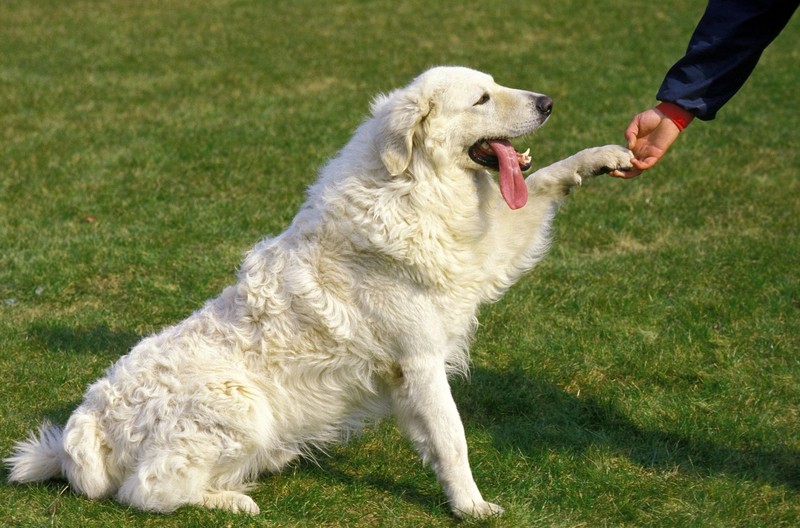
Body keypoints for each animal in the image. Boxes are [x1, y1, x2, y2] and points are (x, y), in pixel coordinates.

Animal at [4, 65, 632, 516]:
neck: (409, 185)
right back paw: (230, 502)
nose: (547, 102)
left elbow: (542, 182)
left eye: (499, 85)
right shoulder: (421, 361)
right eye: (481, 99)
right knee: (146, 491)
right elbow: (454, 439)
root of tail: (81, 432)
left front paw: (603, 157)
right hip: (241, 401)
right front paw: (473, 507)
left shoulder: (480, 258)